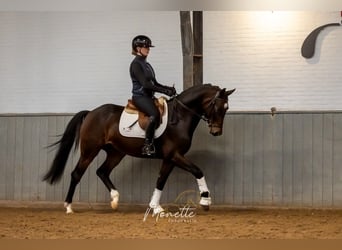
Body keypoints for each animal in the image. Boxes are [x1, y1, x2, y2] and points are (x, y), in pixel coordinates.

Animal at [42, 83, 235, 213]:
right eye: (218, 107)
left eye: (227, 109)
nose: (216, 132)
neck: (180, 118)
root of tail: (91, 113)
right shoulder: (175, 155)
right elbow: (197, 171)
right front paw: (205, 201)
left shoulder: (170, 158)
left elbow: (160, 180)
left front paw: (155, 207)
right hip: (90, 151)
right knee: (77, 174)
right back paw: (68, 207)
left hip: (116, 153)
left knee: (102, 171)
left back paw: (115, 200)